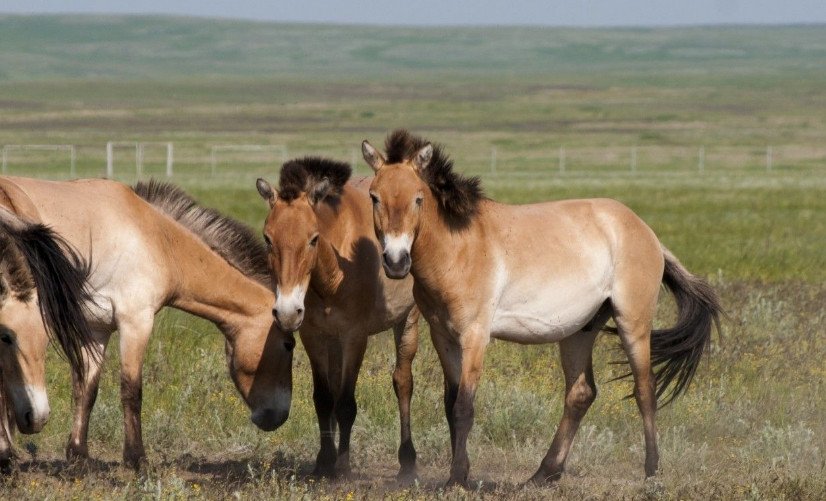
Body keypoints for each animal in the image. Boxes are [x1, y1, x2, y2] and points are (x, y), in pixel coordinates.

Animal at [256, 159, 422, 480]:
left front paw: (343, 465)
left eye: (313, 239)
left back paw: (407, 462)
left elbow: (345, 403)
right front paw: (324, 461)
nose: (287, 312)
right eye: (268, 238)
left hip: (407, 322)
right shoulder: (314, 336)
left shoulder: (354, 338)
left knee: (403, 383)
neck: (334, 274)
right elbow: (324, 398)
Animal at [362, 131, 720, 486]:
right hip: (580, 330)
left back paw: (651, 471)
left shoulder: (475, 337)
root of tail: (648, 233)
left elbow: (464, 407)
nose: (396, 262)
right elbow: (451, 405)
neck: (458, 246)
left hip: (633, 324)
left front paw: (457, 481)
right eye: (374, 197)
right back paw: (544, 473)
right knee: (580, 394)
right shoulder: (443, 336)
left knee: (645, 390)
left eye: (418, 199)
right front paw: (459, 473)